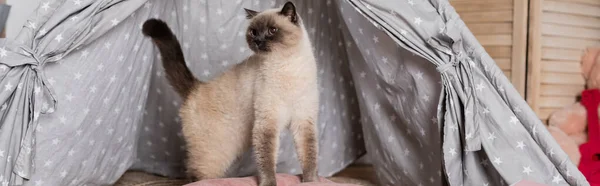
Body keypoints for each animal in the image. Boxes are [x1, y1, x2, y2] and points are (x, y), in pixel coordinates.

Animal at [141, 1, 318, 186]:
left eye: (272, 30)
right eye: (253, 32)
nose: (258, 41)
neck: (286, 64)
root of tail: (196, 87)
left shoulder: (303, 121)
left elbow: (309, 156)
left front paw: (311, 181)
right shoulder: (267, 123)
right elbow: (267, 162)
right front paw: (269, 183)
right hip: (216, 153)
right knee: (195, 175)